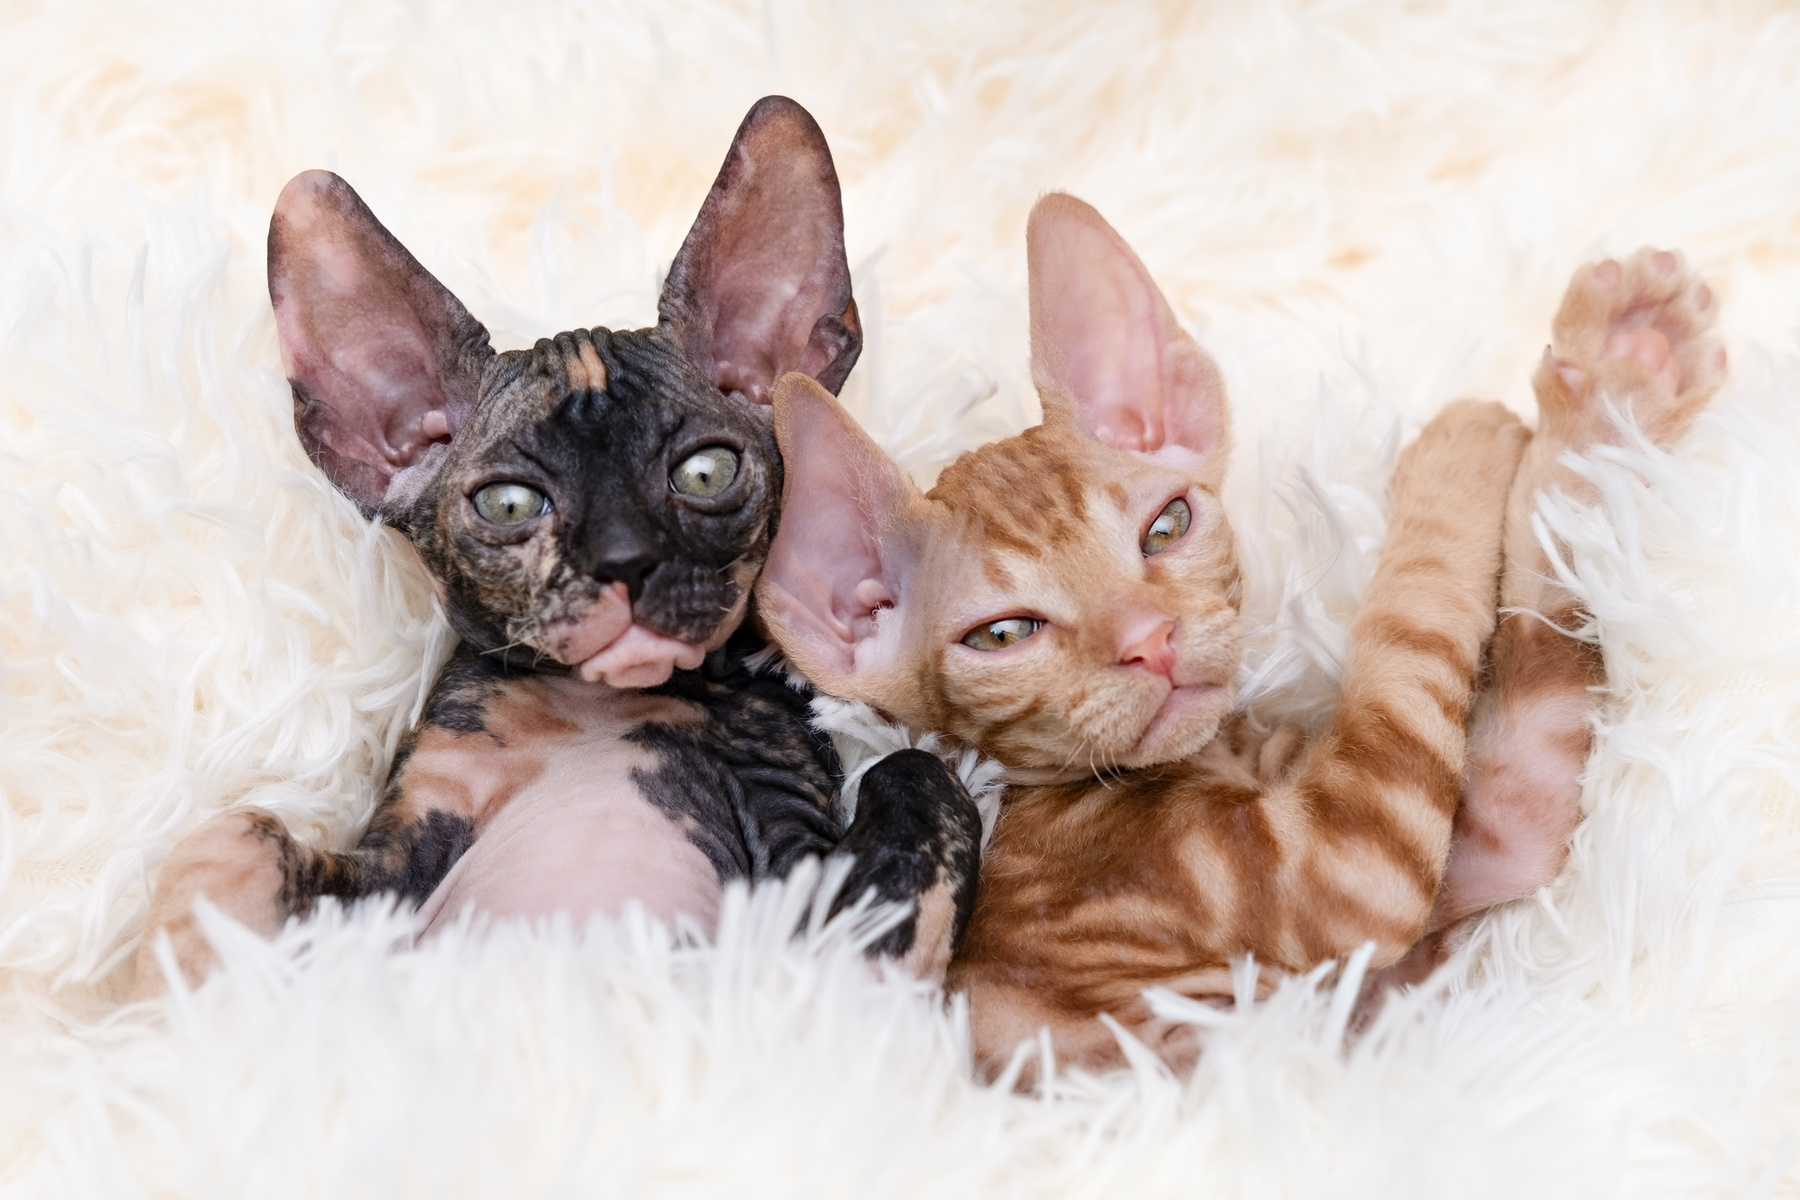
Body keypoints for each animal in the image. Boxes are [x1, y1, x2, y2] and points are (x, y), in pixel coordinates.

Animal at [135, 96, 986, 993]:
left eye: (707, 472)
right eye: (510, 504)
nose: (624, 561)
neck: (598, 708)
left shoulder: (789, 854)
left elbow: (915, 774)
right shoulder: (401, 858)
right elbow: (236, 831)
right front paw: (179, 1002)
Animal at [752, 192, 1720, 1072]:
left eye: (1166, 527)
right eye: (1004, 635)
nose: (1151, 640)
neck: (1217, 759)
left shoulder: (1487, 838)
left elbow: (1540, 645)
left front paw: (1621, 375)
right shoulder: (1347, 864)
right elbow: (1409, 617)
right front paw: (1459, 442)